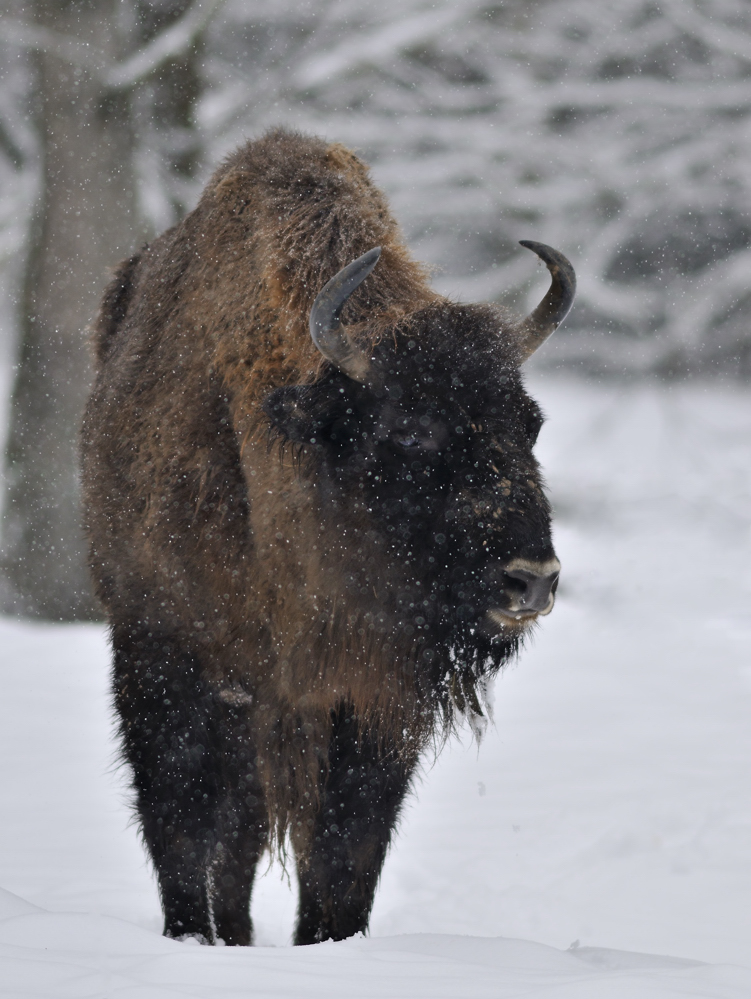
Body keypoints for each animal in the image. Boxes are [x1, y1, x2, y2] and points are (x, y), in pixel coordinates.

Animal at [81, 129, 576, 948]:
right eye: (411, 428)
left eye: (529, 424)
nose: (530, 578)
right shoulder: (167, 655)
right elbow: (180, 821)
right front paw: (191, 940)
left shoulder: (369, 698)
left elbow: (346, 849)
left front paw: (327, 943)